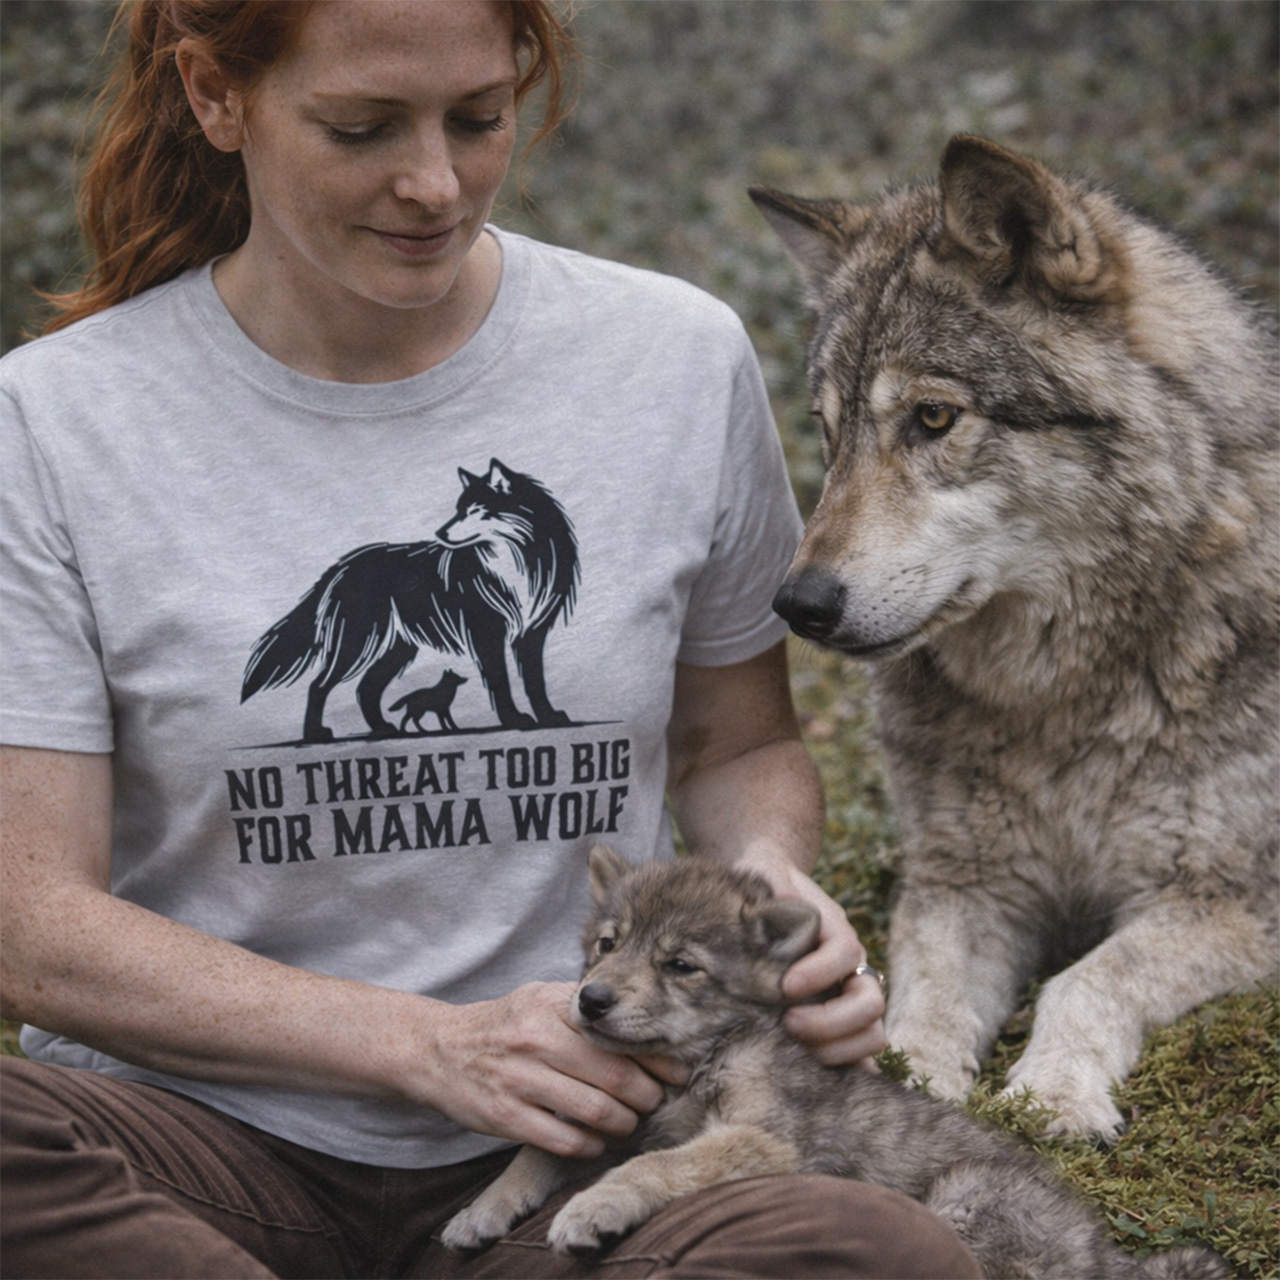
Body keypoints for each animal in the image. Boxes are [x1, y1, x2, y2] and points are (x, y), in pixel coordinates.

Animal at [241, 460, 579, 743]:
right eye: (458, 510)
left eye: (473, 511)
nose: (439, 532)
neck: (518, 561)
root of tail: (341, 567)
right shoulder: (488, 635)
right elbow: (501, 683)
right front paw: (515, 720)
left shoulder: (532, 634)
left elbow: (536, 683)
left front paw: (548, 717)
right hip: (356, 645)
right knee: (320, 685)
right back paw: (316, 734)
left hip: (398, 649)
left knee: (366, 688)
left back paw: (382, 729)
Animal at [442, 849, 1227, 1278]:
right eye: (608, 944)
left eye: (680, 965)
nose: (591, 1000)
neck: (703, 1057)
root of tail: (1110, 1257)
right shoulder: (622, 1114)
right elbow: (540, 1150)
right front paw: (486, 1209)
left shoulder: (762, 1140)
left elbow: (661, 1165)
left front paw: (593, 1208)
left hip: (967, 1196)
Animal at [750, 135, 1279, 1138]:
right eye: (827, 433)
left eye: (933, 417)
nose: (797, 604)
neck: (1062, 701)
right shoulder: (964, 884)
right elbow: (923, 1003)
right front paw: (920, 1090)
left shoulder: (1233, 899)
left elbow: (1087, 978)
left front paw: (1052, 1095)